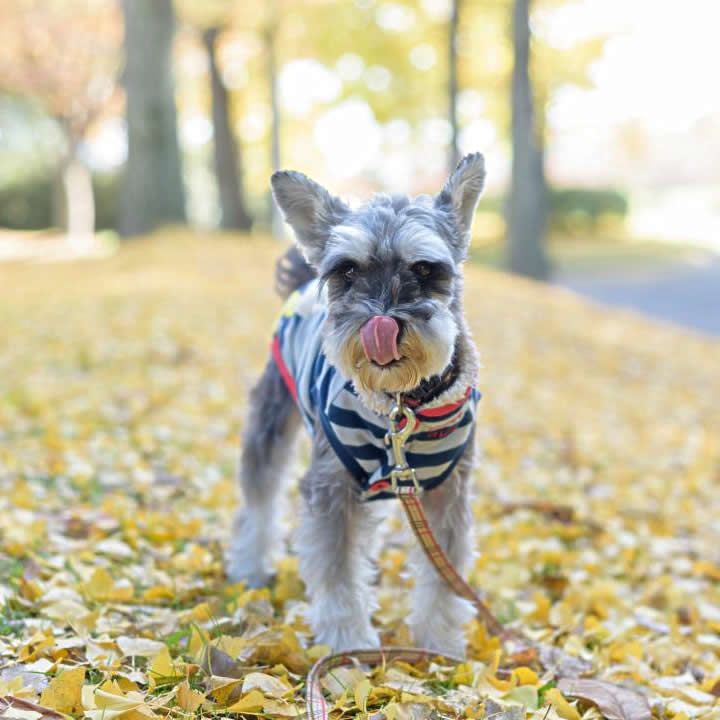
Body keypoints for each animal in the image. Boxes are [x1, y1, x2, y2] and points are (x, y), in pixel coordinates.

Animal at [229, 153, 490, 660]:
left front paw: (439, 644)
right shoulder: (333, 488)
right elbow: (337, 570)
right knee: (259, 498)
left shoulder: (448, 493)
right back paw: (250, 566)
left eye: (424, 269)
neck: (403, 405)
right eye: (347, 271)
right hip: (271, 418)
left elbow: (443, 575)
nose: (381, 323)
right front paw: (348, 640)